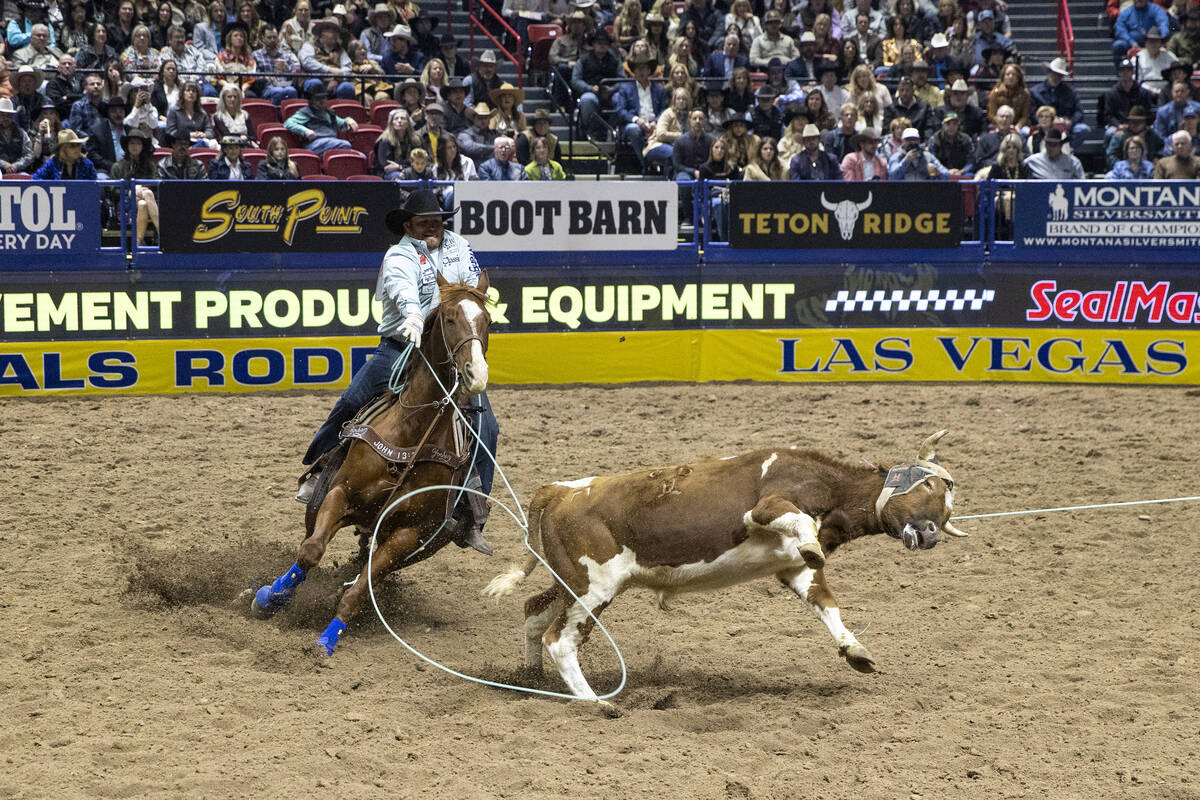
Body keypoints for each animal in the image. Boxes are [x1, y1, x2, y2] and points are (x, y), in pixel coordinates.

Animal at [253, 275, 492, 657]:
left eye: (488, 321)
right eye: (450, 317)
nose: (476, 373)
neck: (411, 434)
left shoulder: (408, 533)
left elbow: (361, 588)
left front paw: (328, 639)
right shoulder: (340, 494)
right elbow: (310, 552)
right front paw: (270, 598)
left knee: (368, 570)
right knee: (311, 540)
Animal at [487, 431, 964, 700]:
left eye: (946, 512)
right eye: (928, 488)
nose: (931, 535)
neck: (829, 489)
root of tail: (558, 491)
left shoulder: (794, 569)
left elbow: (825, 602)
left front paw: (855, 650)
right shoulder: (763, 510)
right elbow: (795, 523)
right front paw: (812, 541)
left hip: (571, 581)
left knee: (534, 612)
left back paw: (531, 678)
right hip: (593, 586)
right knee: (560, 639)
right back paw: (594, 702)